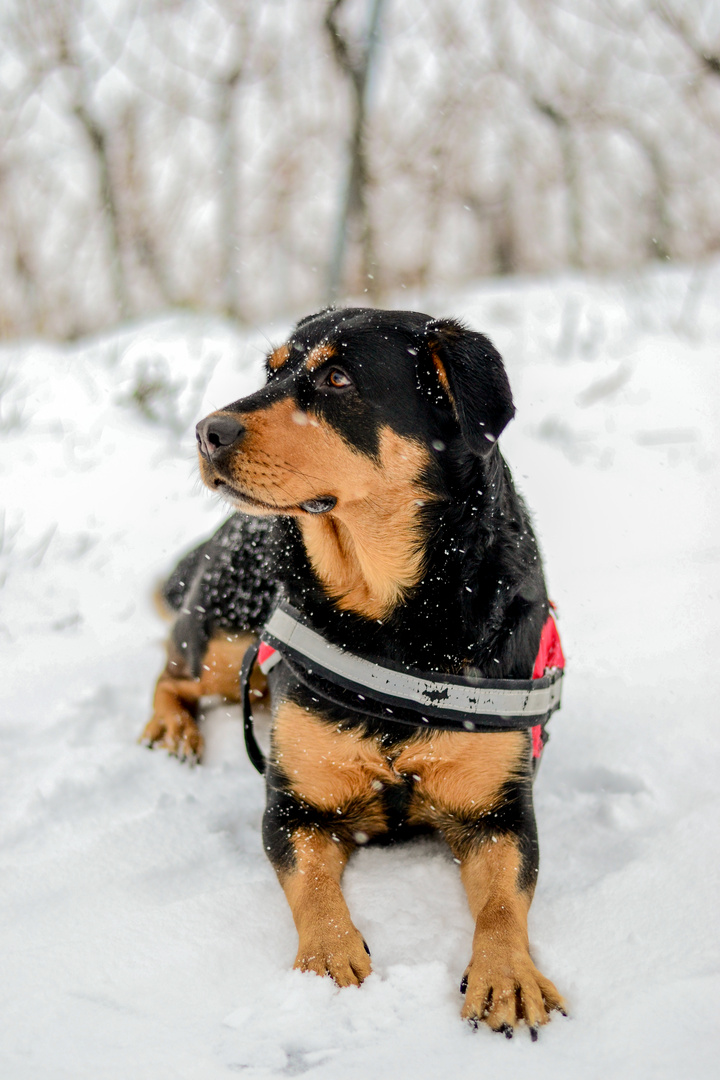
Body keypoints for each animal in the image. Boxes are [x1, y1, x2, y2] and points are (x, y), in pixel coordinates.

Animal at [142, 306, 569, 1036]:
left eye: (337, 378)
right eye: (270, 370)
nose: (206, 431)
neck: (393, 624)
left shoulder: (499, 812)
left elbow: (504, 901)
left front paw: (507, 974)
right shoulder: (295, 807)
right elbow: (311, 887)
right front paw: (326, 958)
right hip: (229, 641)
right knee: (173, 675)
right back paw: (172, 731)